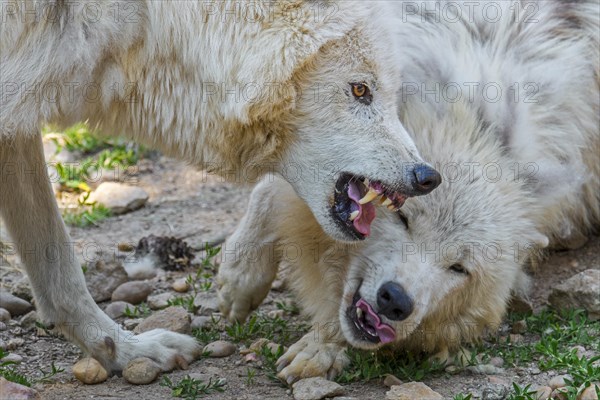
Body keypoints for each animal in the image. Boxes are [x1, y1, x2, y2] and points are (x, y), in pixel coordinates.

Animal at [0, 1, 440, 374]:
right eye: (360, 89)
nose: (428, 176)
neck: (144, 20)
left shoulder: (16, 110)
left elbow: (58, 268)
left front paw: (127, 352)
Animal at [217, 0, 600, 382]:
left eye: (459, 268)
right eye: (402, 218)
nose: (396, 300)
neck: (476, 119)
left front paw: (322, 347)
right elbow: (270, 188)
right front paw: (240, 278)